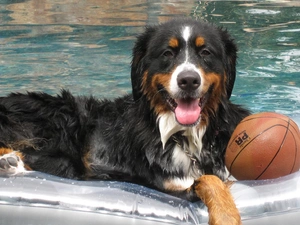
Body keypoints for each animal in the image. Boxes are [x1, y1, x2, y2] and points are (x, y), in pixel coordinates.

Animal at [0, 18, 248, 224]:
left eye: (206, 52)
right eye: (167, 53)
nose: (188, 80)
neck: (186, 137)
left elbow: (212, 178)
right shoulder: (165, 188)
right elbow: (209, 179)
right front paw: (226, 216)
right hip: (62, 122)